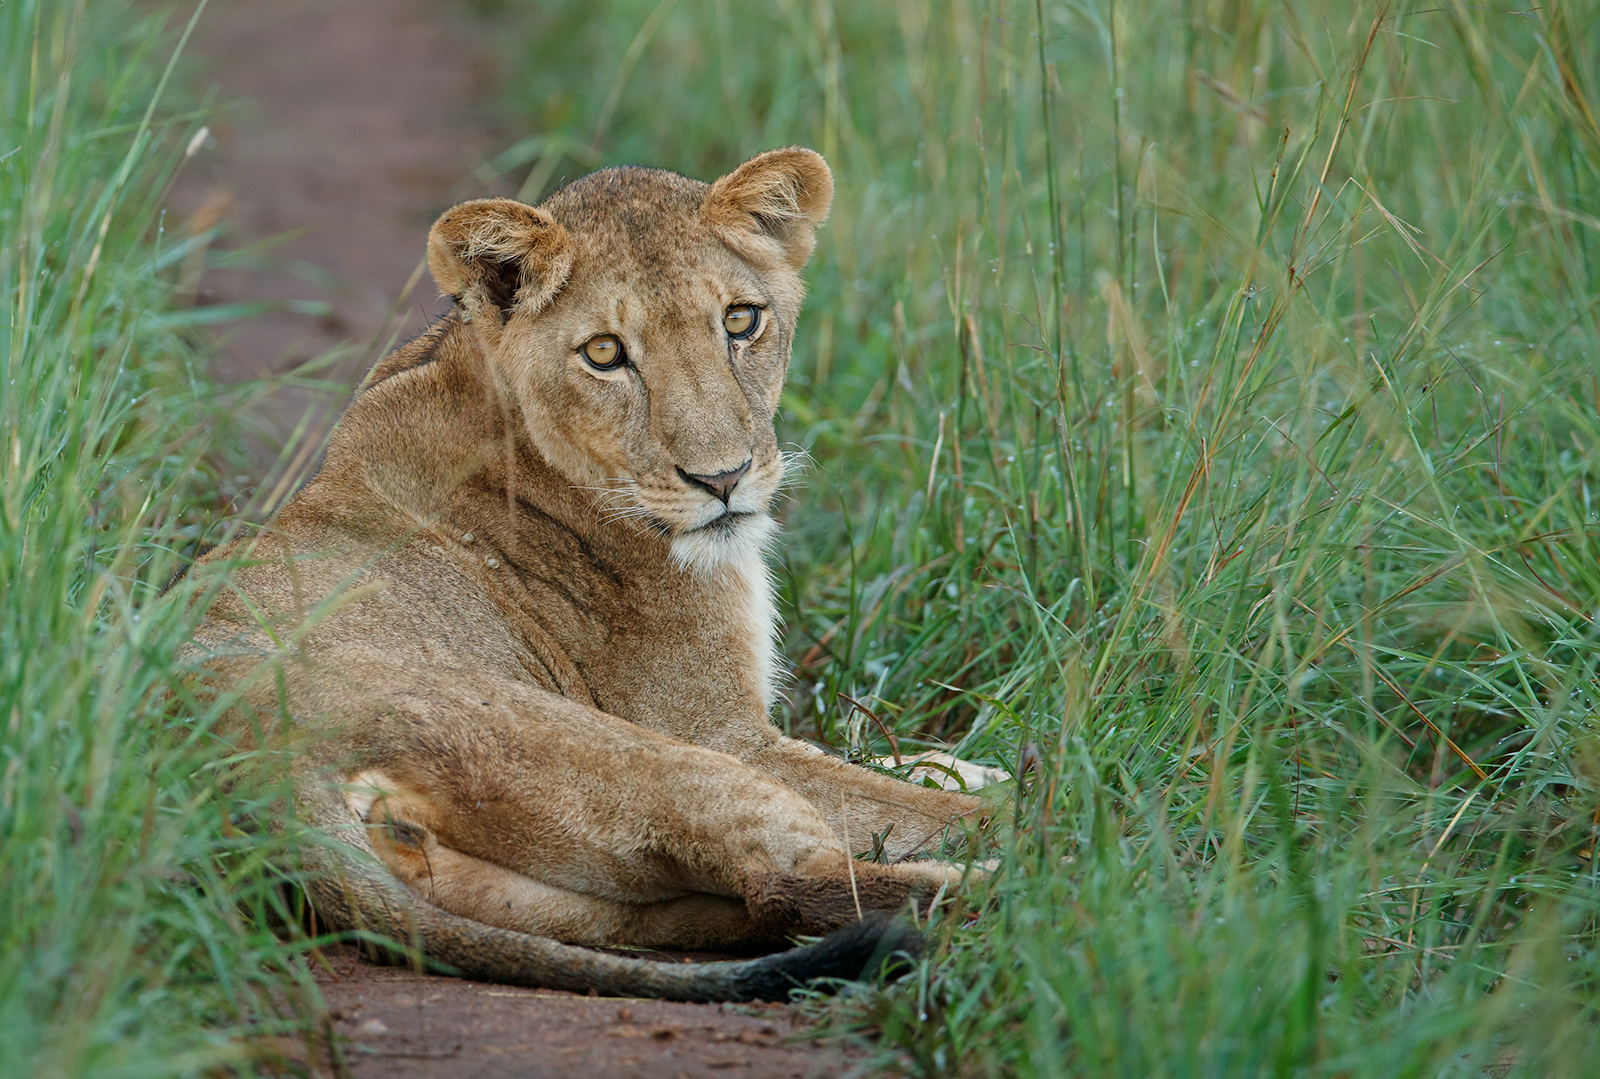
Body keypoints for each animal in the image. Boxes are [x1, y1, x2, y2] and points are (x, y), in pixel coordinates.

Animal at [185, 148, 990, 1002]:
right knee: (783, 878)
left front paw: (977, 763)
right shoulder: (722, 730)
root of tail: (255, 774)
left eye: (741, 320)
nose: (724, 479)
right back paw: (1010, 883)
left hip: (552, 898)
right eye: (605, 353)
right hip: (636, 756)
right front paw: (1029, 803)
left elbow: (902, 763)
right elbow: (916, 801)